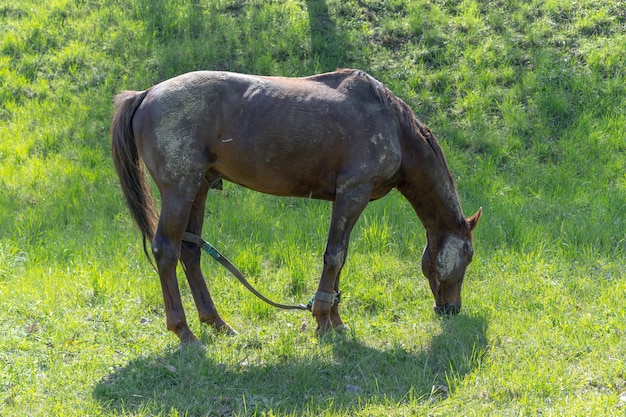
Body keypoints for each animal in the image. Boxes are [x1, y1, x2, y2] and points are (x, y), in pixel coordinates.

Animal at [109, 68, 480, 342]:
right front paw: (324, 321)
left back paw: (216, 323)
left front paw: (334, 319)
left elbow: (339, 260)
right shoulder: (353, 194)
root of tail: (146, 94)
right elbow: (334, 257)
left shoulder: (346, 200)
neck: (394, 127)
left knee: (190, 252)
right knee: (166, 252)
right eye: (469, 256)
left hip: (198, 189)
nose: (451, 310)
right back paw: (184, 332)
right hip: (180, 191)